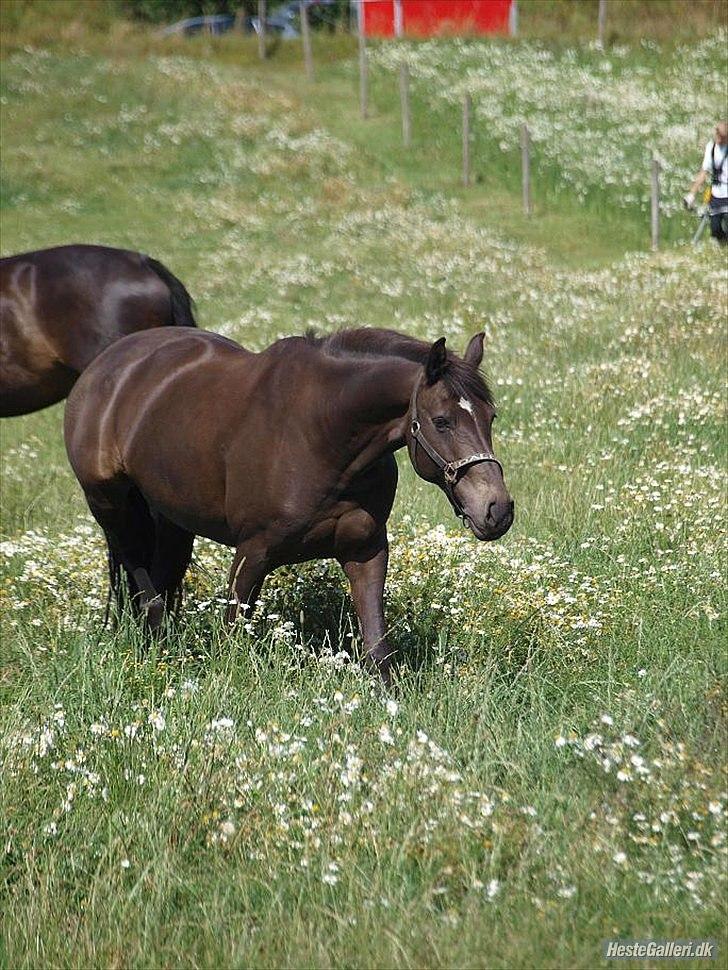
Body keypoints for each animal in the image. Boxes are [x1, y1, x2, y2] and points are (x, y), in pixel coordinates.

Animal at [65, 326, 516, 680]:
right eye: (442, 421)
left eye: (491, 418)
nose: (497, 510)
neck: (321, 434)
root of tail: (107, 365)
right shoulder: (253, 552)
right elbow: (232, 634)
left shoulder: (366, 549)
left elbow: (376, 646)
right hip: (109, 503)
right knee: (138, 573)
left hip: (171, 514)